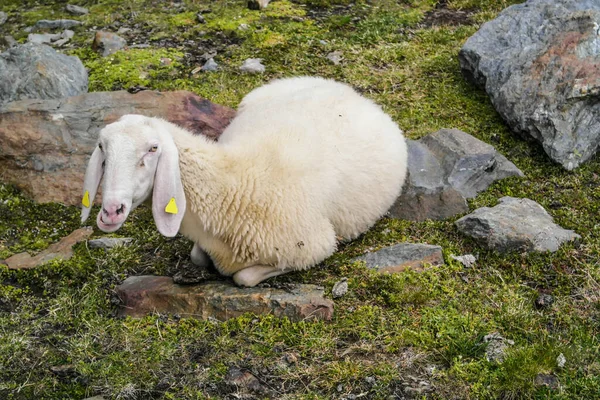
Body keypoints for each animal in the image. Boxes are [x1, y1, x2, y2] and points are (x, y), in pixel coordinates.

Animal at [79, 76, 408, 288]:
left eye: (152, 149)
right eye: (102, 149)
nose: (111, 212)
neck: (232, 185)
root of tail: (345, 89)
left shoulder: (315, 247)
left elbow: (243, 277)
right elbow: (198, 256)